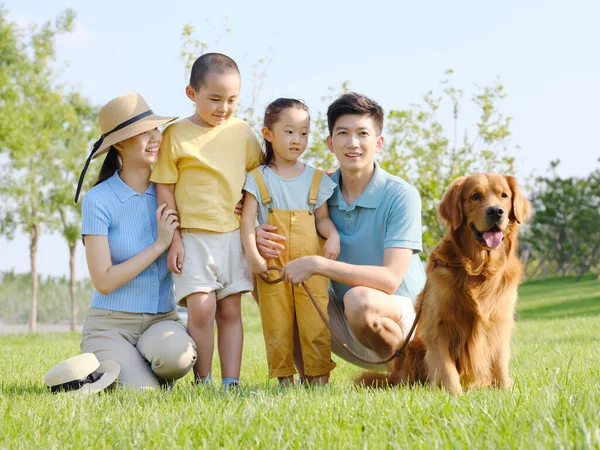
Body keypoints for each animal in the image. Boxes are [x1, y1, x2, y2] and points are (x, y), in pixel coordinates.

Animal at [356, 174, 528, 396]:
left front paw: (505, 391)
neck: (478, 270)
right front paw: (454, 395)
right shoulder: (438, 327)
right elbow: (446, 368)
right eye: (475, 196)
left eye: (504, 195)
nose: (496, 211)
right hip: (410, 348)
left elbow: (499, 362)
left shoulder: (499, 322)